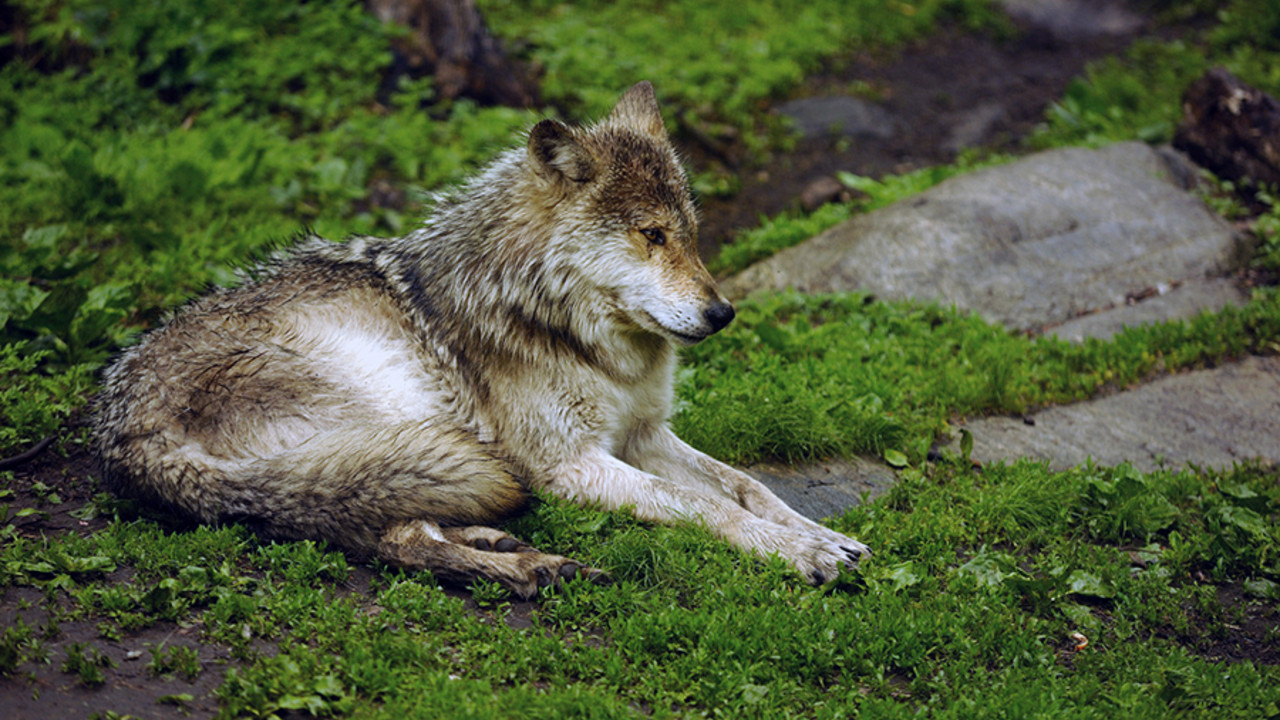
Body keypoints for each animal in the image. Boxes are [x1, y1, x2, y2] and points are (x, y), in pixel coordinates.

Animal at [92, 82, 869, 598]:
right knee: (394, 537)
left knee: (387, 526)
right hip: (391, 412)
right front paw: (800, 552)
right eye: (652, 235)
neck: (578, 336)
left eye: (694, 236)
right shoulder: (570, 465)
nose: (723, 313)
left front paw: (822, 535)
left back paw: (515, 552)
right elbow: (707, 506)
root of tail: (121, 436)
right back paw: (532, 566)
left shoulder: (643, 433)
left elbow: (746, 485)